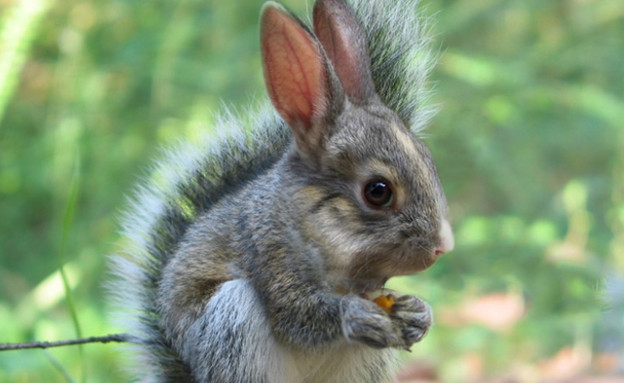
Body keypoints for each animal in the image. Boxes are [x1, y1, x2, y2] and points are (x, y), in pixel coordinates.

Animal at [109, 0, 454, 383]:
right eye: (377, 191)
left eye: (430, 161)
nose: (443, 246)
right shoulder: (265, 251)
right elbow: (296, 315)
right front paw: (353, 315)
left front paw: (419, 313)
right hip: (230, 324)